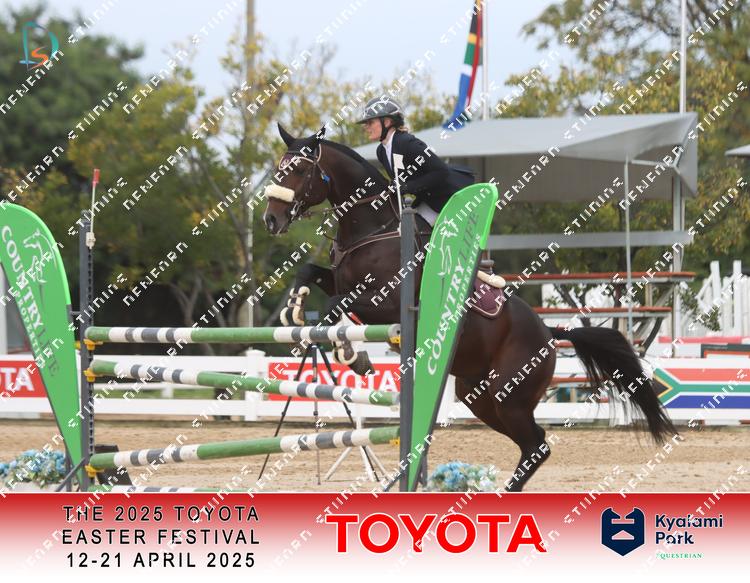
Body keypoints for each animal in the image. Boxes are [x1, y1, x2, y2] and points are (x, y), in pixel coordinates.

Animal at [262, 124, 676, 491]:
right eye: (277, 168)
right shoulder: (342, 280)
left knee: (537, 445)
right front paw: (293, 311)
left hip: (509, 397)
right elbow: (309, 274)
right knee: (532, 444)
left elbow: (338, 306)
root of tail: (549, 331)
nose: (271, 219)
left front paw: (352, 353)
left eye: (298, 170)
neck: (371, 227)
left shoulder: (389, 304)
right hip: (478, 396)